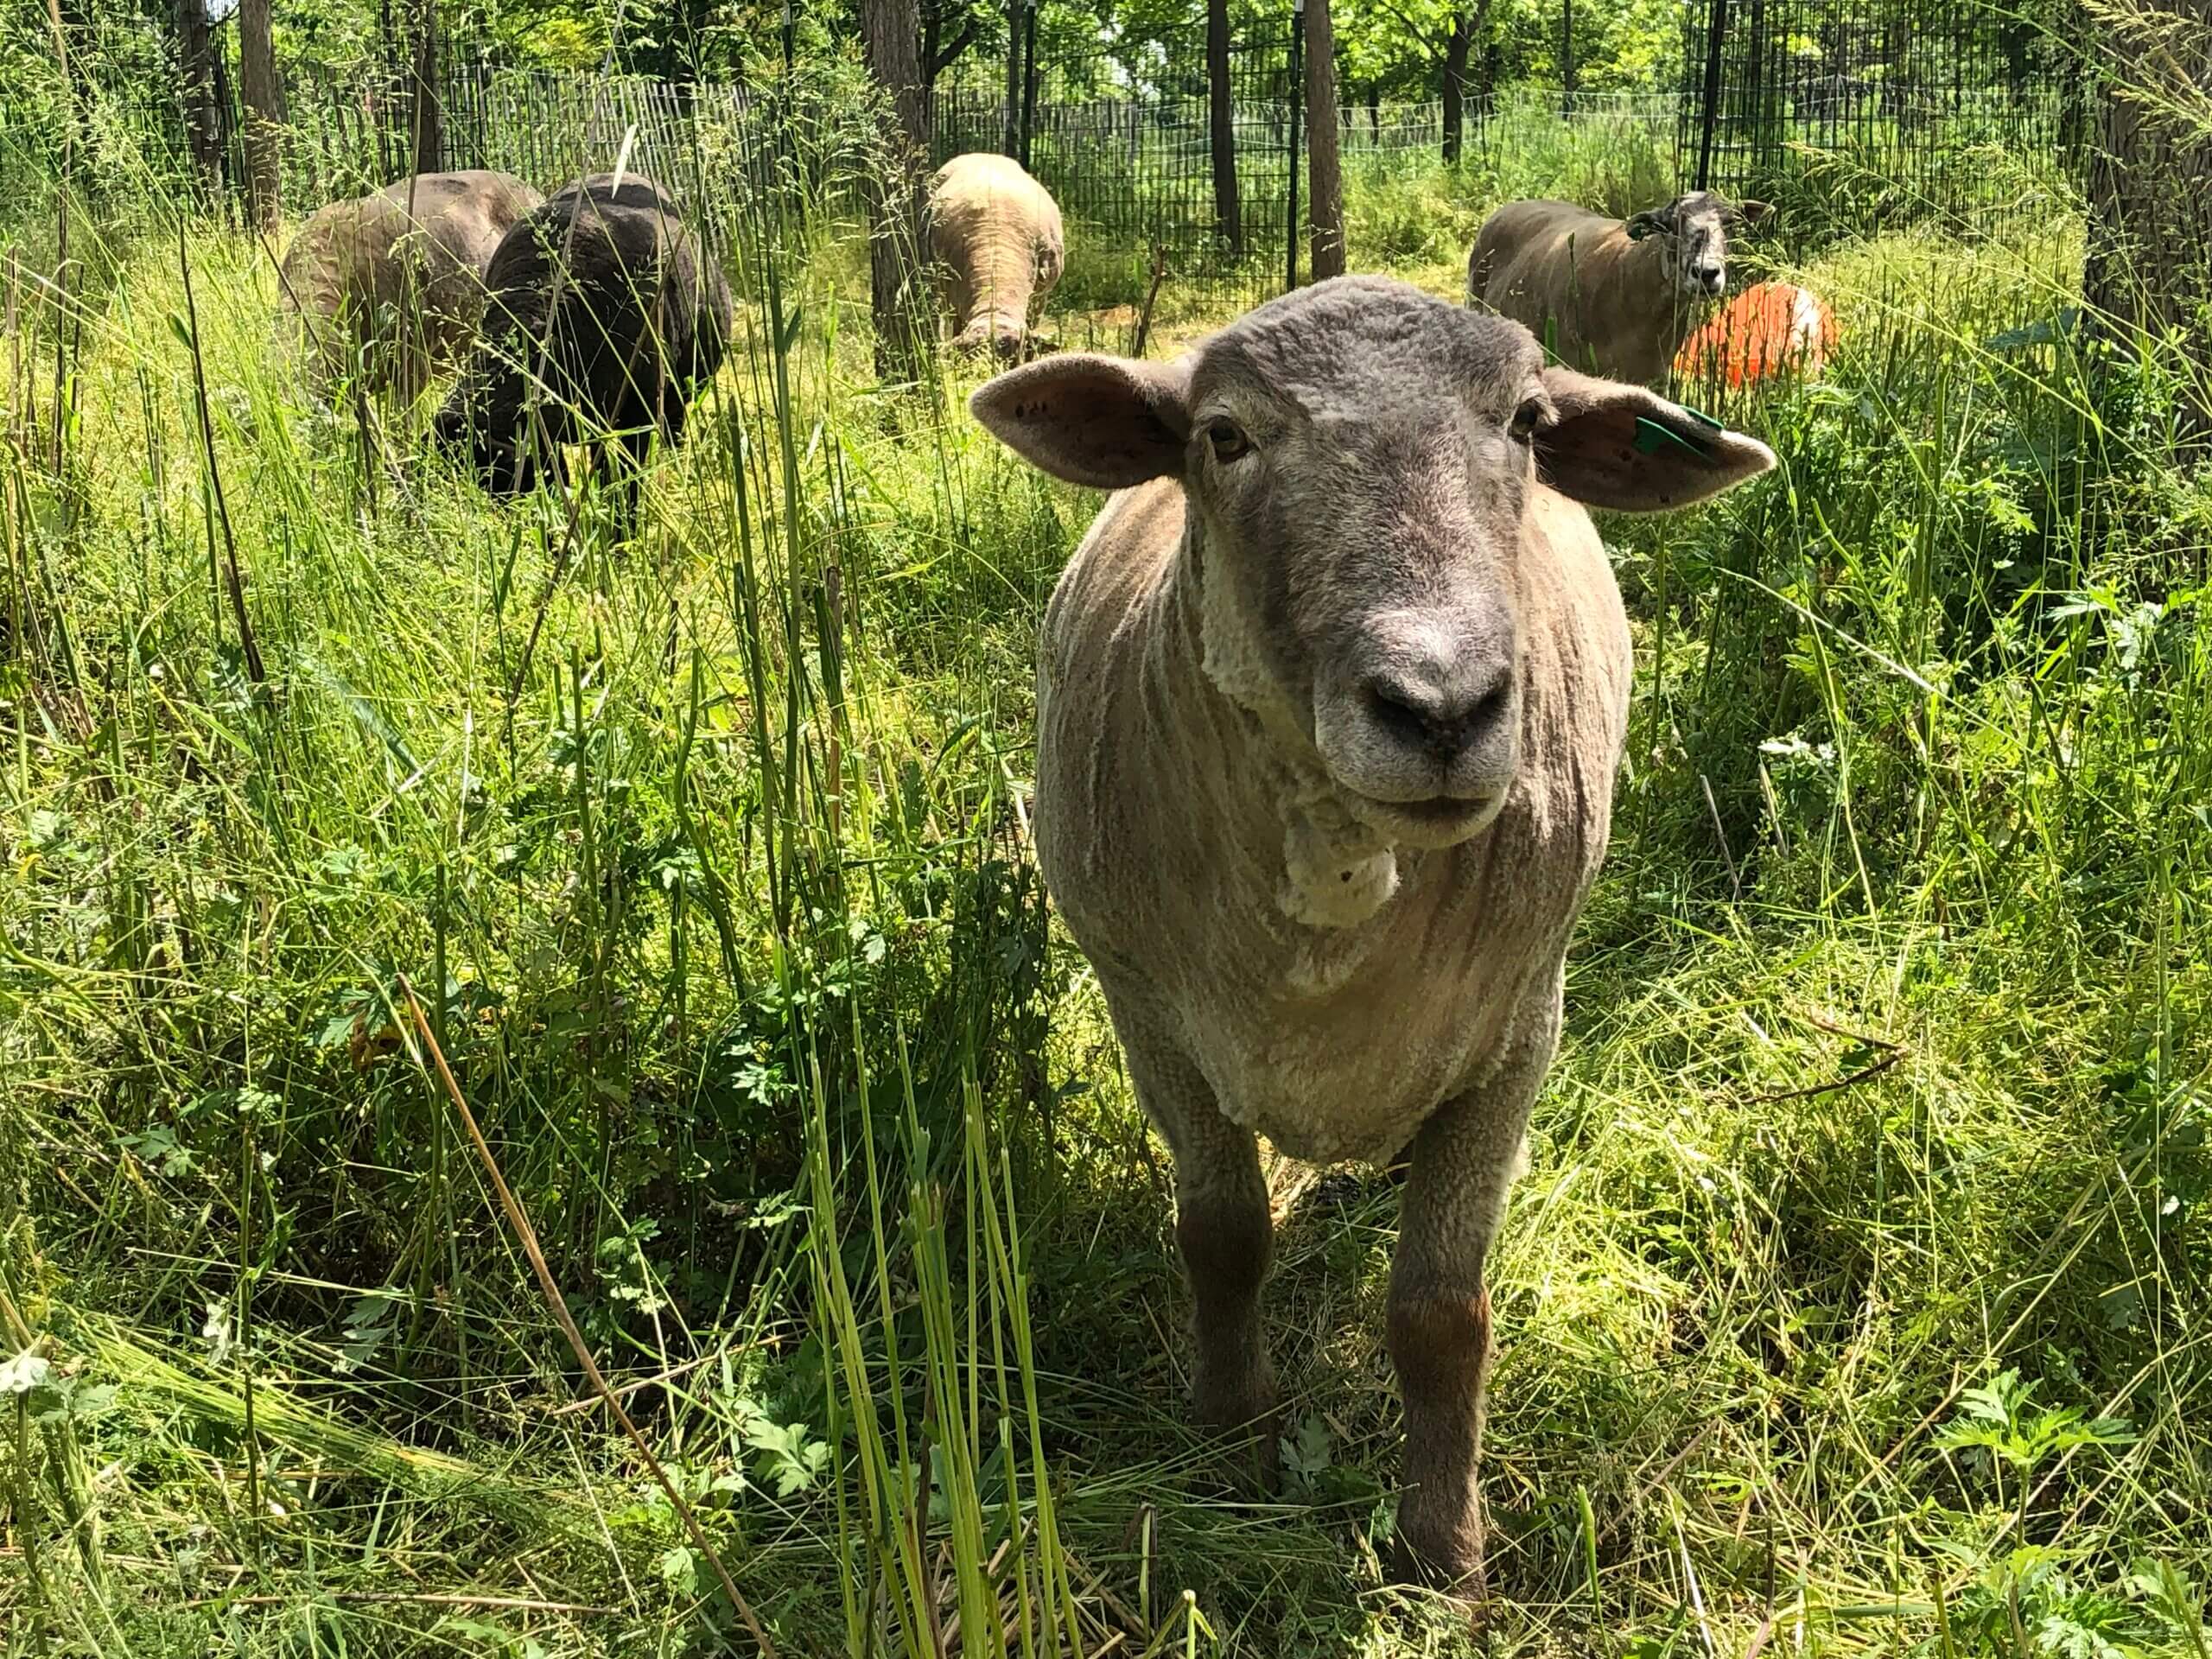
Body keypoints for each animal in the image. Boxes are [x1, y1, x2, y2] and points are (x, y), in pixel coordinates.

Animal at [969, 279, 1778, 1601]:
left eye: (1527, 424)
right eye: (1224, 436)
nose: (1441, 708)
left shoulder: (1517, 1030)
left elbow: (1440, 1312)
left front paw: (1441, 1547)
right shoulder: (1147, 1013)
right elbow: (1223, 1237)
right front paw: (1231, 1438)